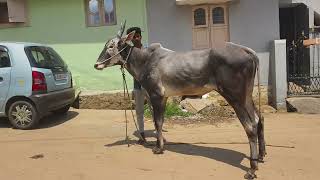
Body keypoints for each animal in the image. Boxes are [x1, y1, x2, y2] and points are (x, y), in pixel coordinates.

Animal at [94, 23, 266, 179]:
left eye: (111, 46)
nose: (96, 64)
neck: (144, 60)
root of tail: (247, 51)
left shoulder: (156, 95)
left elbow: (158, 122)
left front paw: (159, 148)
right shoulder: (161, 98)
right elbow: (159, 123)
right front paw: (161, 143)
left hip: (235, 97)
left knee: (250, 126)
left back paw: (252, 169)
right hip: (247, 96)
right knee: (259, 119)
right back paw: (261, 155)